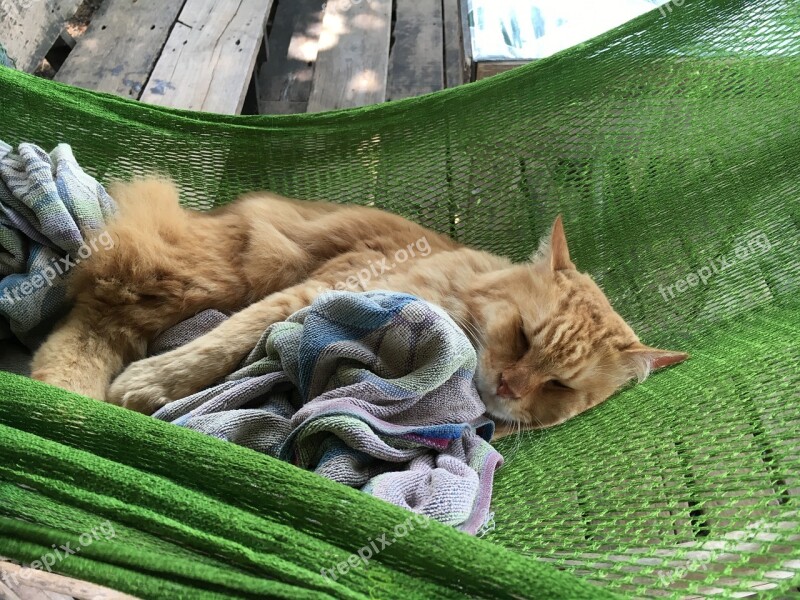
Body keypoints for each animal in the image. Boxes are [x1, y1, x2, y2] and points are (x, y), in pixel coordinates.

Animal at [31, 177, 688, 436]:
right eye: (524, 338)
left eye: (557, 385)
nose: (508, 386)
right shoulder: (319, 289)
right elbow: (220, 345)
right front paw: (148, 385)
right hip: (212, 271)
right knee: (93, 318)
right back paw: (71, 396)